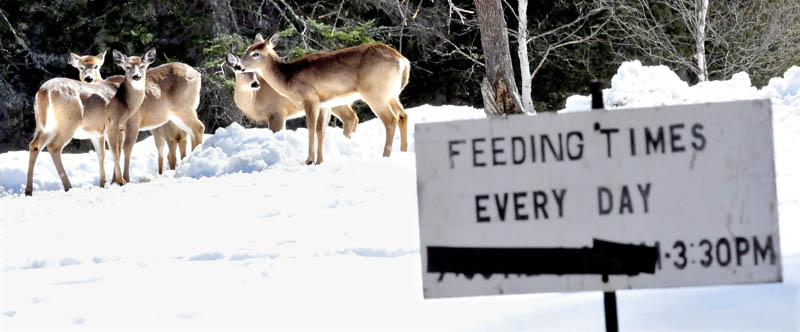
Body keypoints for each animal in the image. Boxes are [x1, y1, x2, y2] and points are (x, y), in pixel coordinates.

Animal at [25, 48, 155, 196]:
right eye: (127, 67)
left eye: (143, 66)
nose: (136, 76)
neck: (124, 101)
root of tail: (45, 91)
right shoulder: (112, 123)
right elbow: (115, 151)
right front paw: (120, 181)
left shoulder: (96, 132)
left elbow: (101, 154)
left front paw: (103, 183)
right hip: (67, 123)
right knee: (53, 147)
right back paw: (68, 186)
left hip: (44, 125)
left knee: (34, 145)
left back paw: (28, 190)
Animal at [225, 52, 362, 137]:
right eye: (239, 70)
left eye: (255, 71)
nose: (255, 84)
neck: (254, 101)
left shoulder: (277, 112)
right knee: (354, 117)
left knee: (350, 117)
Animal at [239, 32, 410, 165]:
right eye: (247, 49)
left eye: (256, 54)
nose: (238, 66)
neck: (288, 77)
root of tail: (403, 61)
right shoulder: (325, 104)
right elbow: (321, 130)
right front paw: (319, 161)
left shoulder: (310, 98)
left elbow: (311, 128)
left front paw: (309, 160)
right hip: (392, 94)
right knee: (403, 115)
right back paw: (403, 151)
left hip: (375, 93)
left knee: (390, 119)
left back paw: (385, 156)